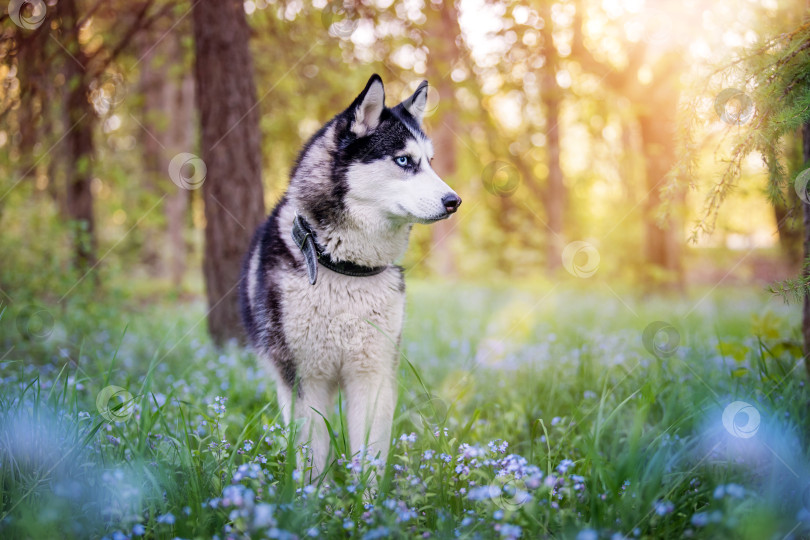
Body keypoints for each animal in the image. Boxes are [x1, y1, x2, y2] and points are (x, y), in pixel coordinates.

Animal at [237, 73, 458, 476]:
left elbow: (369, 455)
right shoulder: (304, 380)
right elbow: (310, 457)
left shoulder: (372, 375)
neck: (346, 269)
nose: (454, 201)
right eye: (404, 160)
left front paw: (365, 496)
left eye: (430, 162)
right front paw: (309, 494)